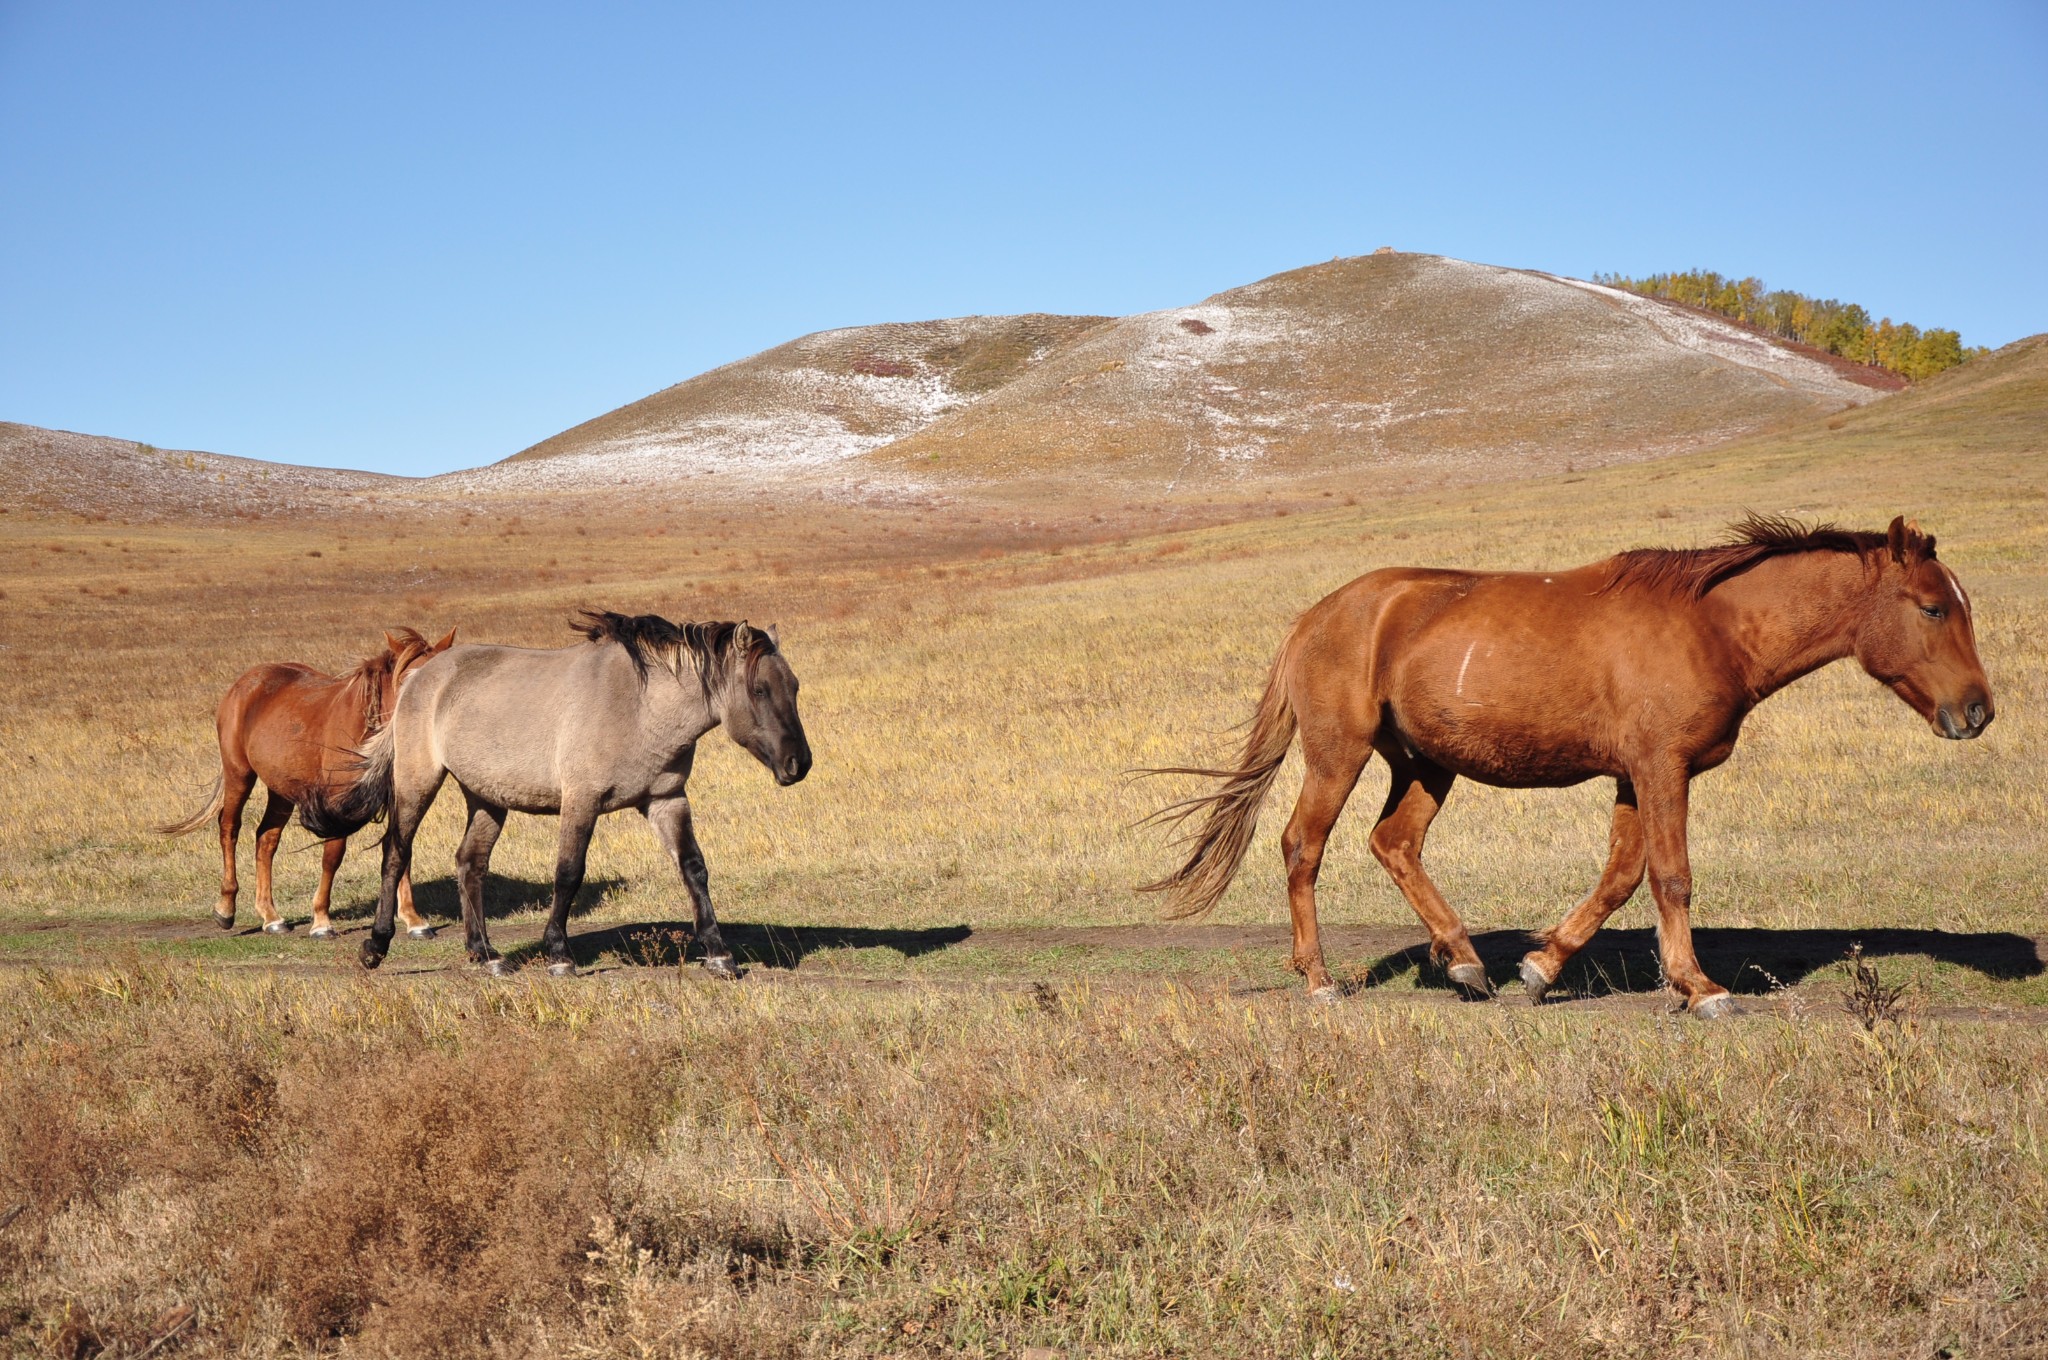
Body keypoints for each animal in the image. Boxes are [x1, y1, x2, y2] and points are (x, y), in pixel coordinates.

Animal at [163, 626, 460, 933]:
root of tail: (243, 684)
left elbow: (401, 849)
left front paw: (413, 919)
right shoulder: (337, 800)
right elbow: (333, 855)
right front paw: (321, 920)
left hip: (281, 788)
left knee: (266, 838)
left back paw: (271, 916)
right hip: (239, 774)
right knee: (229, 829)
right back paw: (226, 907)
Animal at [307, 614, 811, 979]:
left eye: (795, 686)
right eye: (759, 689)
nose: (799, 764)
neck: (638, 705)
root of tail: (418, 677)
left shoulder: (667, 799)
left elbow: (694, 868)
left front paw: (720, 953)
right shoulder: (582, 801)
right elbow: (569, 873)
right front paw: (559, 955)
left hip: (487, 797)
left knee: (470, 863)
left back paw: (486, 953)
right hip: (417, 781)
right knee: (397, 852)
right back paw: (376, 946)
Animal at [1155, 516, 1998, 1015]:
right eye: (1932, 608)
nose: (1978, 710)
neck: (1714, 626)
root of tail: (1316, 616)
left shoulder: (1637, 775)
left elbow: (1622, 877)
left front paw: (1542, 967)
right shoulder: (1662, 768)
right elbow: (1671, 877)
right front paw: (1700, 988)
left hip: (1425, 764)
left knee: (1394, 844)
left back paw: (1466, 963)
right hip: (1341, 753)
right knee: (1304, 847)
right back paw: (1322, 978)